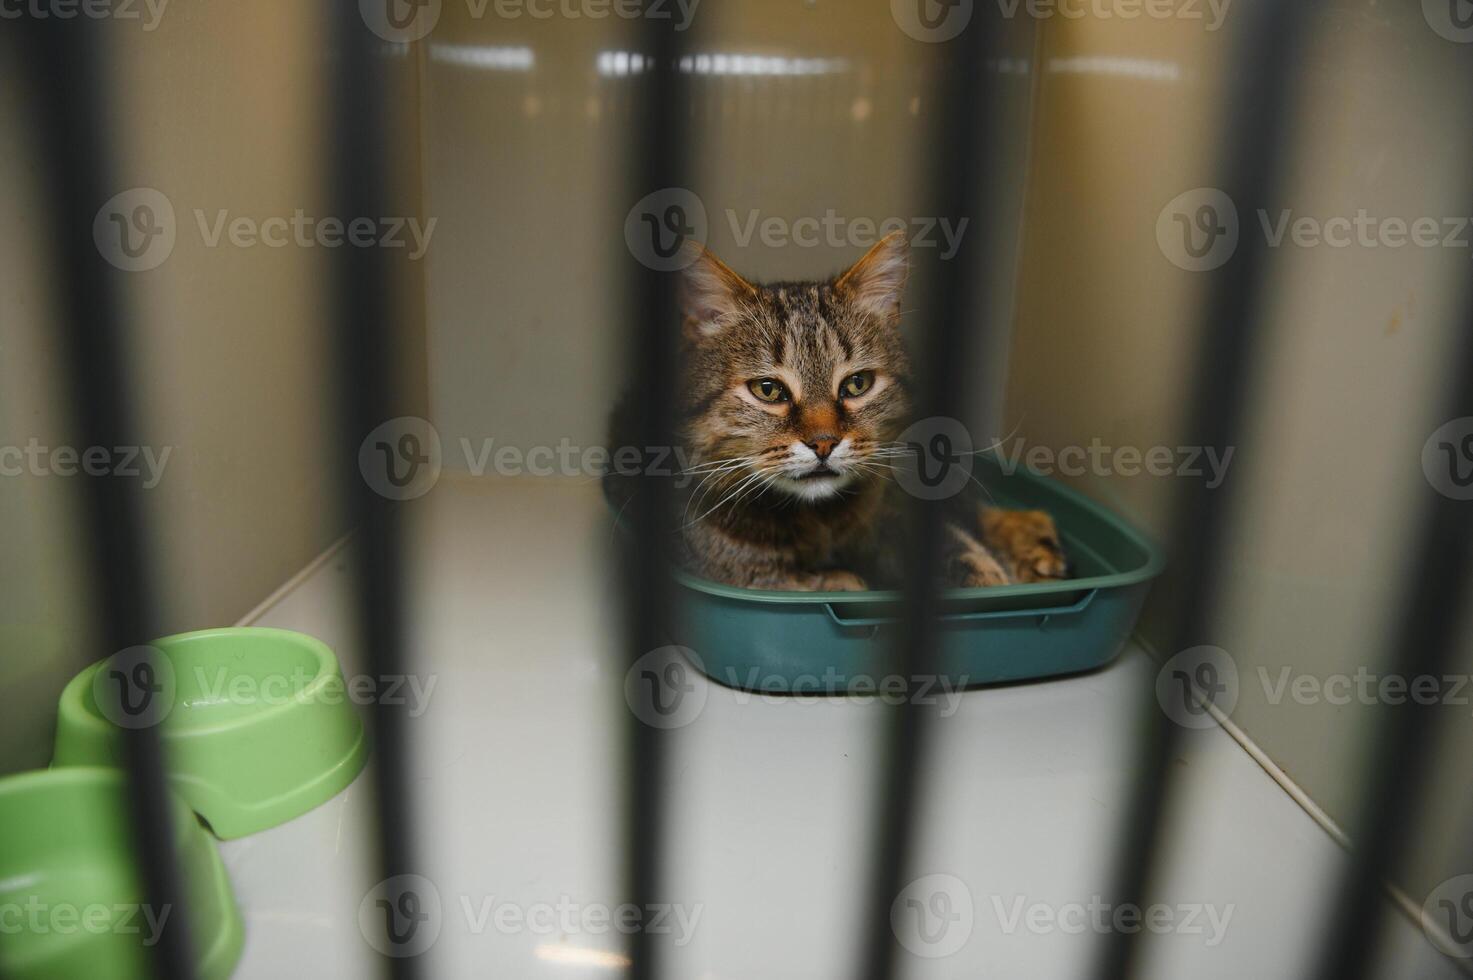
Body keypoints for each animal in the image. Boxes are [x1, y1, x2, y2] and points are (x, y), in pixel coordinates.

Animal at [609, 232, 1072, 592]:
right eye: (768, 390)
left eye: (857, 384)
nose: (824, 443)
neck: (821, 522)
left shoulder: (895, 510)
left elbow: (952, 542)